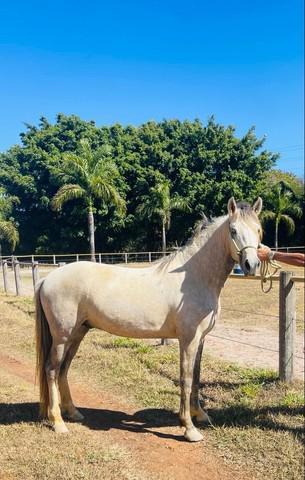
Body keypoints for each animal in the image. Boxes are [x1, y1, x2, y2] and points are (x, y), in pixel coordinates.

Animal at [35, 197, 262, 440]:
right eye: (233, 230)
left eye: (258, 230)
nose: (251, 265)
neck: (193, 278)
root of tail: (47, 279)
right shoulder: (188, 340)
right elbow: (186, 378)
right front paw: (189, 428)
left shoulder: (200, 339)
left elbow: (196, 376)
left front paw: (200, 415)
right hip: (62, 336)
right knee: (51, 369)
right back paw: (58, 422)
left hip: (78, 333)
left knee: (63, 369)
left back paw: (73, 412)